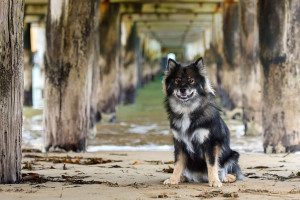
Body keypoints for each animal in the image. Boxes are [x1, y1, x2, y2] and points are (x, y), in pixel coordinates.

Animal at [162, 57, 244, 187]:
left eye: (191, 81)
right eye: (177, 81)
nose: (182, 89)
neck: (187, 110)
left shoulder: (210, 143)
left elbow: (212, 163)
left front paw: (214, 181)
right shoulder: (179, 143)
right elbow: (178, 163)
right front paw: (173, 179)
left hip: (233, 155)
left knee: (233, 171)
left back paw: (226, 178)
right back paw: (183, 177)